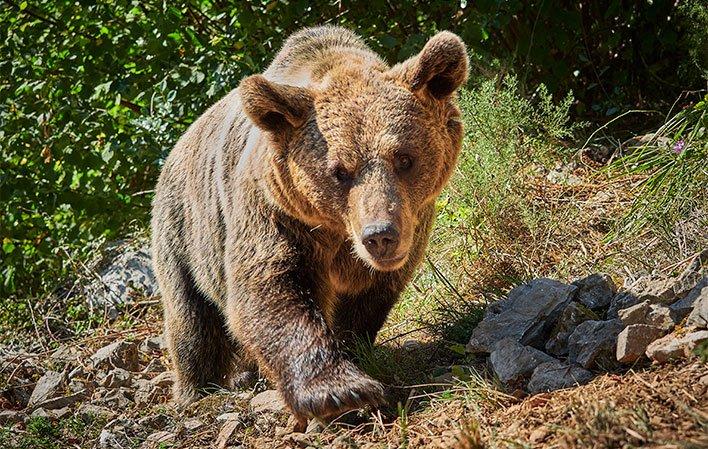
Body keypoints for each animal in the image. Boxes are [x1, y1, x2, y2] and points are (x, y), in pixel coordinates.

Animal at [151, 25, 464, 428]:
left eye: (404, 158)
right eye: (339, 171)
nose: (380, 236)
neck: (337, 232)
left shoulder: (411, 226)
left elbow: (368, 300)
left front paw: (354, 354)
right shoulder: (276, 212)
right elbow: (268, 286)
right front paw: (341, 391)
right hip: (184, 235)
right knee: (192, 320)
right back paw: (199, 390)